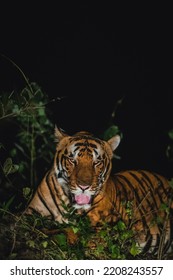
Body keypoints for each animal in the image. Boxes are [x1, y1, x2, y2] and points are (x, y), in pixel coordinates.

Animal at [25, 126, 173, 256]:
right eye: (72, 160)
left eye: (96, 162)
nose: (84, 186)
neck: (68, 203)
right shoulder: (31, 211)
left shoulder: (106, 228)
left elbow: (73, 232)